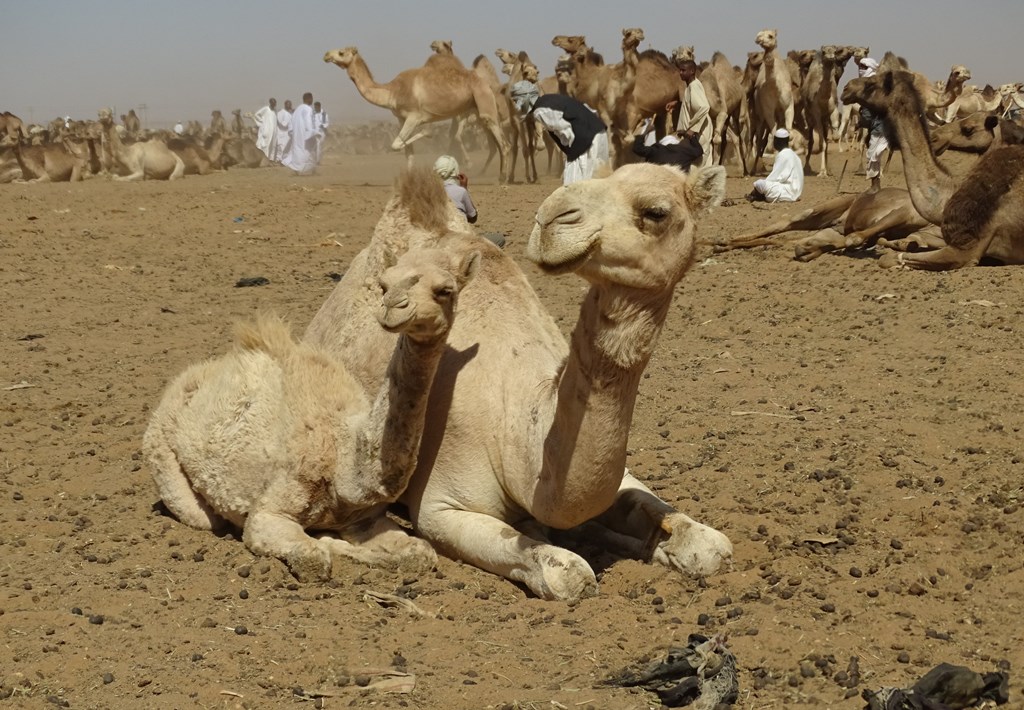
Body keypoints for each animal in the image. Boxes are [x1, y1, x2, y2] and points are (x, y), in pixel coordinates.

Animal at [144, 243, 479, 581]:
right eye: (383, 285)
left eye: (445, 290)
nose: (393, 307)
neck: (343, 460)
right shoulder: (269, 512)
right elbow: (313, 560)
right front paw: (328, 543)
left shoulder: (367, 518)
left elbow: (420, 554)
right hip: (163, 457)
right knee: (204, 516)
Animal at [299, 162, 733, 602]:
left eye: (656, 211)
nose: (553, 216)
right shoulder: (441, 505)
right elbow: (567, 574)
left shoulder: (620, 481)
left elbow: (709, 546)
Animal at [323, 45, 507, 181]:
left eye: (341, 52)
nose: (326, 55)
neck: (392, 92)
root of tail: (487, 82)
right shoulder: (400, 118)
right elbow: (408, 152)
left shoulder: (414, 116)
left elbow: (396, 144)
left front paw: (428, 133)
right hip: (476, 110)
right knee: (496, 144)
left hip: (483, 101)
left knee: (503, 143)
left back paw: (502, 178)